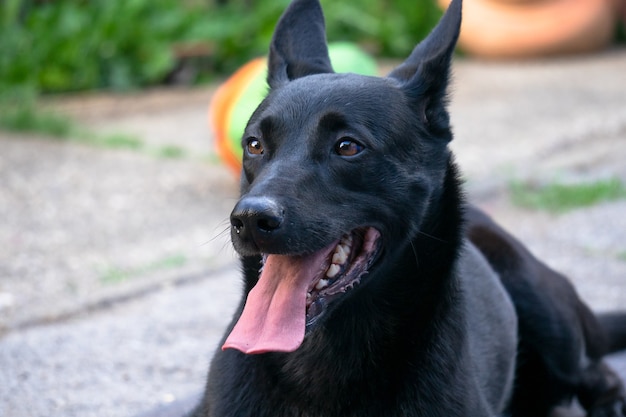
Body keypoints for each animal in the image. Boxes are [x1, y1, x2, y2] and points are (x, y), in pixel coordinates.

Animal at [188, 1, 624, 414]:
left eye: (348, 147)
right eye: (254, 144)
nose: (250, 219)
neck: (321, 355)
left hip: (543, 308)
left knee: (593, 370)